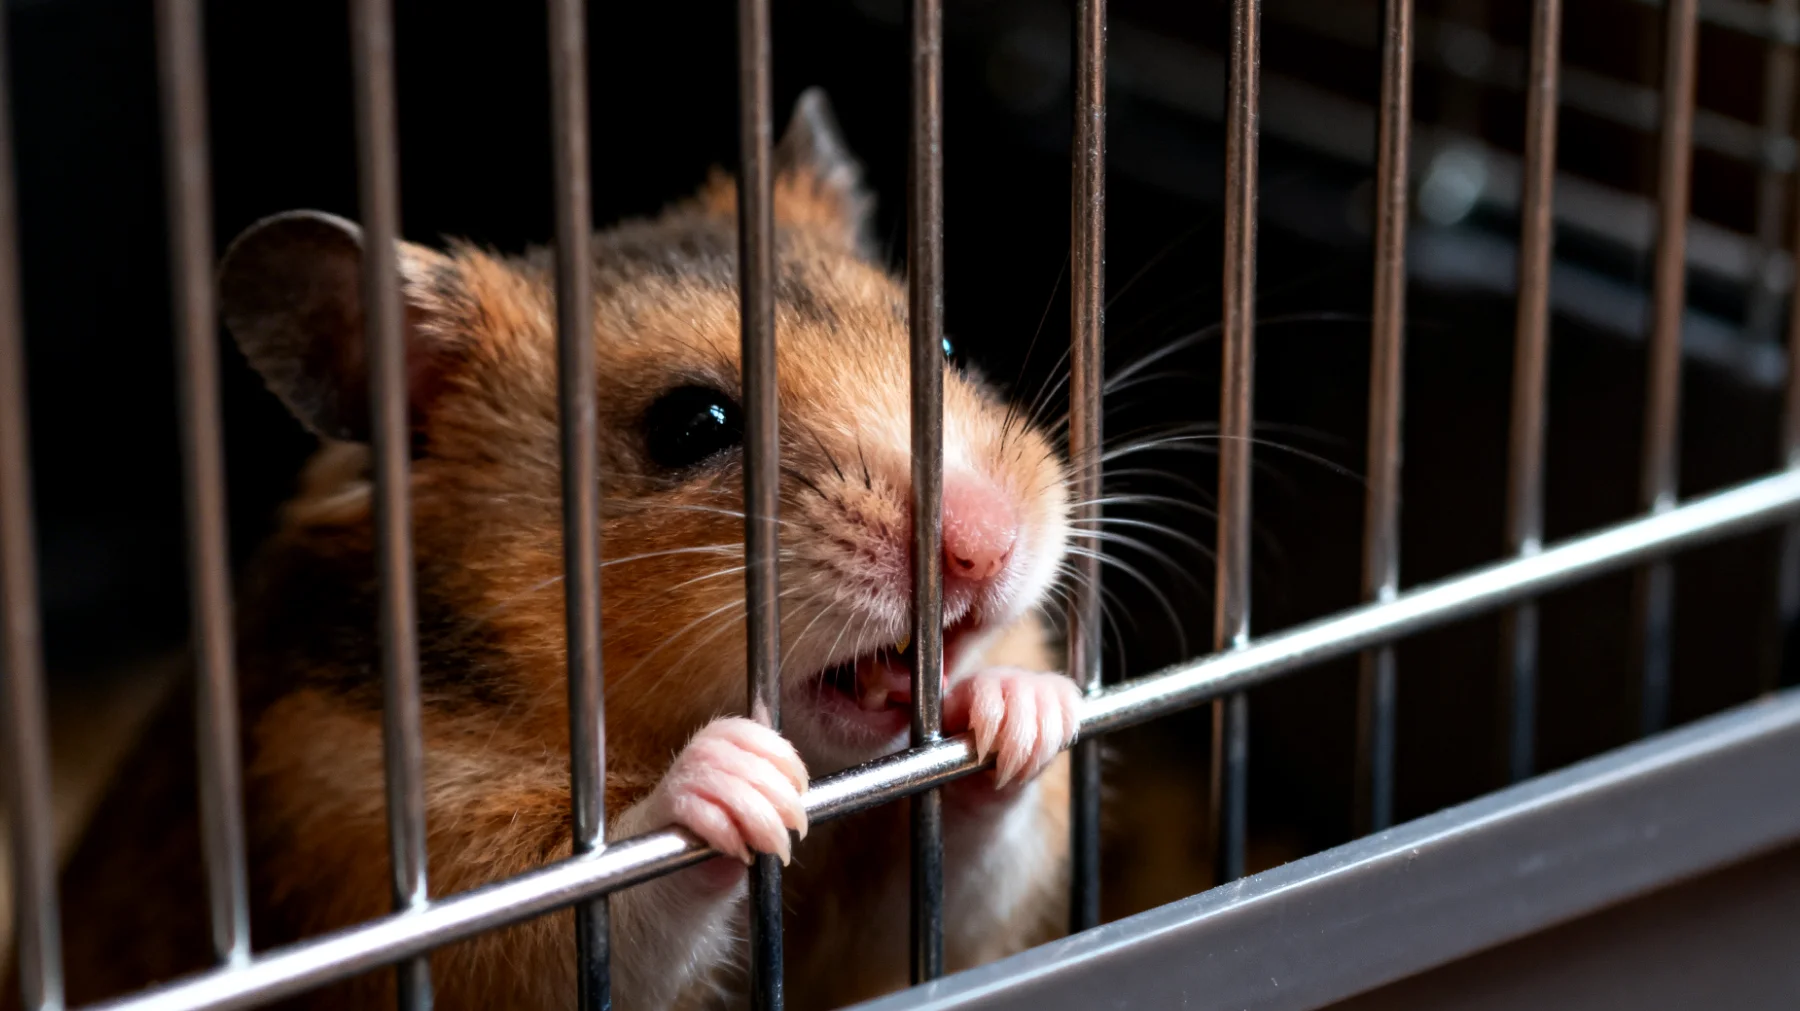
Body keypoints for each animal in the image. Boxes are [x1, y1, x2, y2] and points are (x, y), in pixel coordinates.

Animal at [37, 89, 1076, 1011]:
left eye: (945, 349)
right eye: (692, 425)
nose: (985, 549)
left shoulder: (901, 929)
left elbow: (968, 852)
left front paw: (1029, 708)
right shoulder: (383, 833)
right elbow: (595, 899)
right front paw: (739, 777)